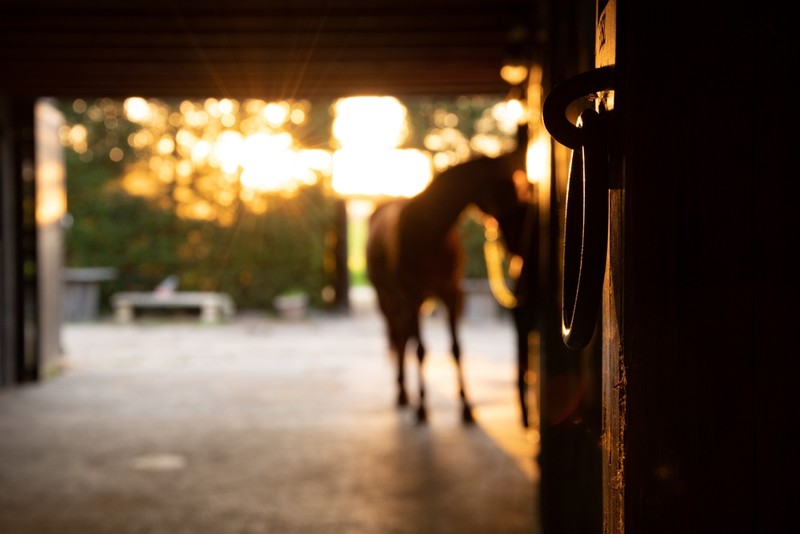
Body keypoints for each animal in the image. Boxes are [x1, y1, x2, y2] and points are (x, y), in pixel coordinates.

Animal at [366, 147, 529, 424]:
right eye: (503, 188)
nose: (518, 245)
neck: (429, 232)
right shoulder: (413, 295)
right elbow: (421, 350)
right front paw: (422, 408)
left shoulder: (451, 294)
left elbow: (456, 349)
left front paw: (466, 406)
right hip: (386, 297)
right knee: (398, 336)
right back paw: (403, 393)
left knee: (403, 336)